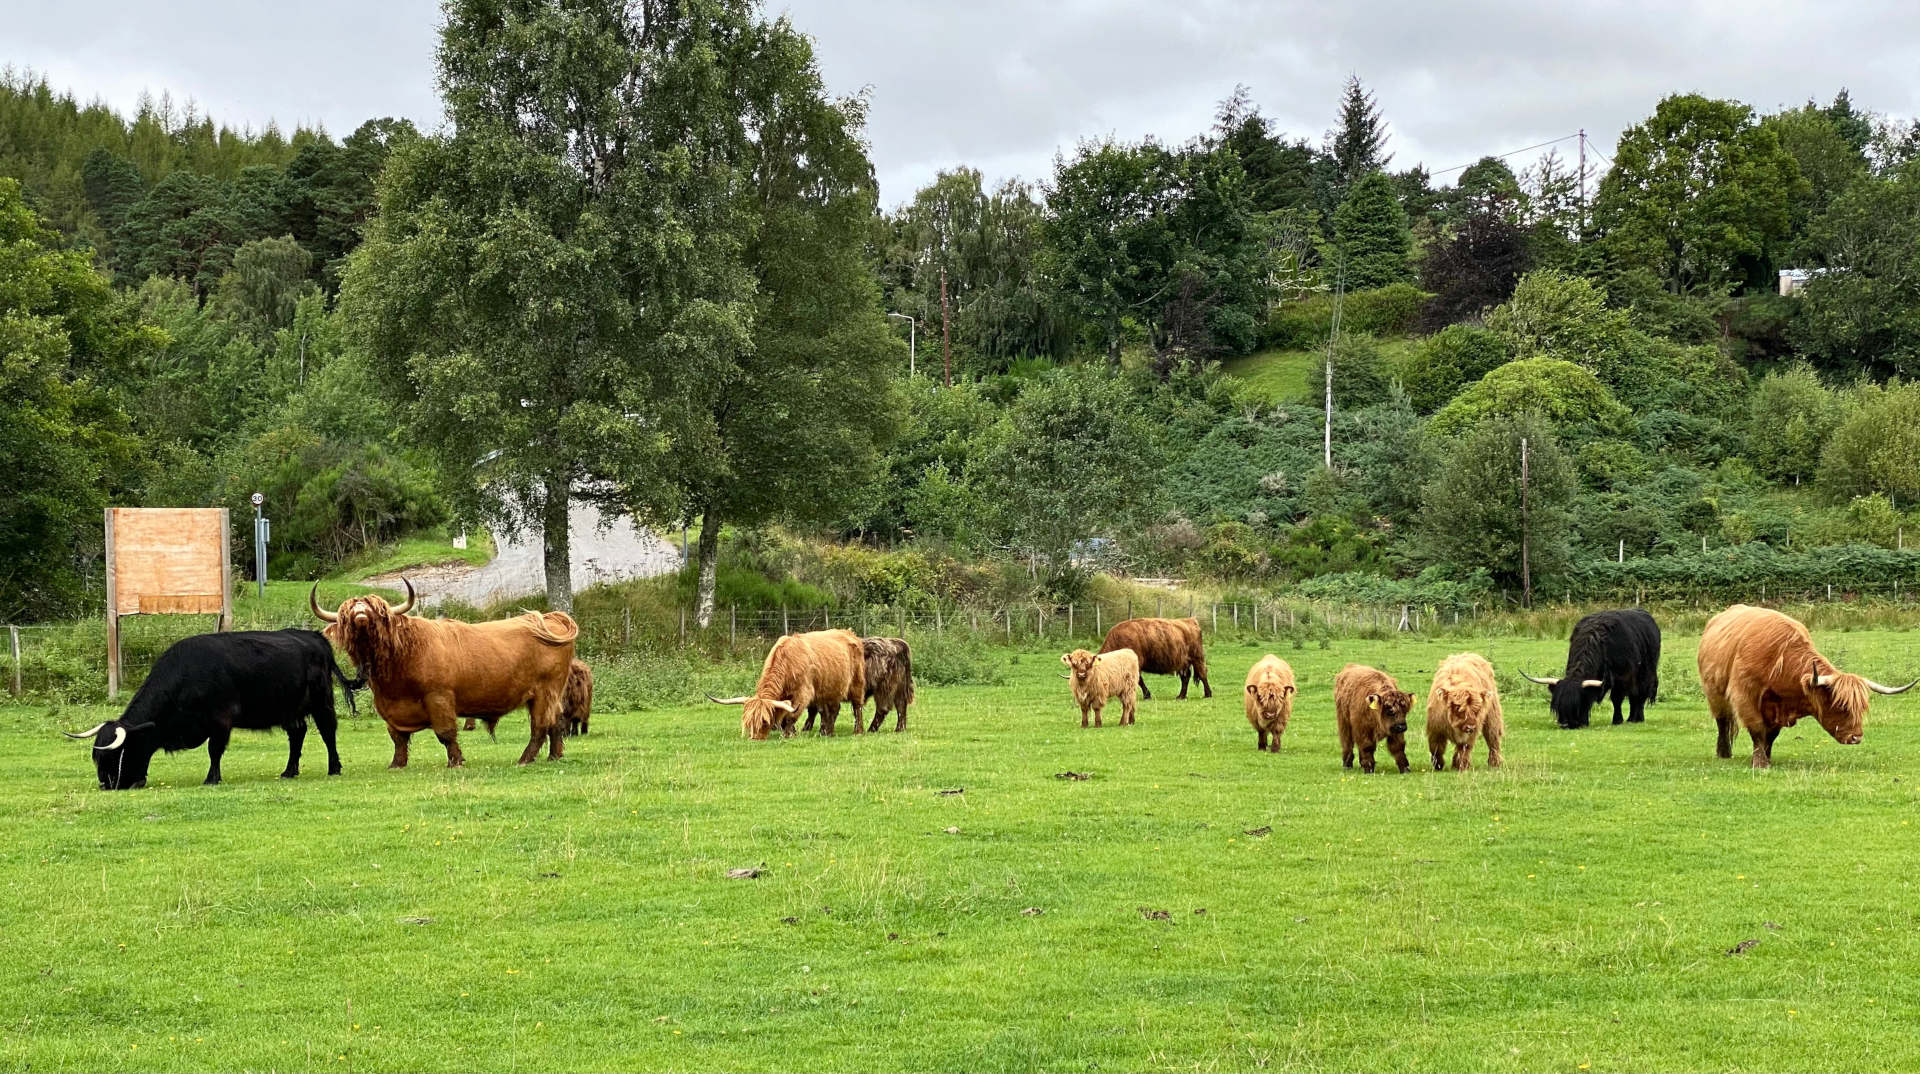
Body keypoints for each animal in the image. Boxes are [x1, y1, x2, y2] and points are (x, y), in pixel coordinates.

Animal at [64, 630, 362, 791]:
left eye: (116, 755)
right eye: (97, 758)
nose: (105, 783)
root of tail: (313, 636)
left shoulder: (220, 721)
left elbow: (214, 750)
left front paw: (212, 778)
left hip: (322, 702)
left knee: (328, 732)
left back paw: (334, 767)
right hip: (289, 710)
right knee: (297, 735)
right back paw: (289, 771)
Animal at [307, 584, 572, 768]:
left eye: (378, 612)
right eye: (348, 613)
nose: (360, 614)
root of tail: (551, 618)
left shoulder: (439, 697)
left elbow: (445, 733)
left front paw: (456, 762)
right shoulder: (388, 707)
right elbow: (397, 737)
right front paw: (397, 764)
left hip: (545, 692)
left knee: (540, 726)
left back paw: (525, 759)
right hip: (552, 695)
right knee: (556, 721)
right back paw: (555, 756)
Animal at [710, 630, 867, 737]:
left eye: (764, 721)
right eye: (749, 723)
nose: (755, 738)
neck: (787, 661)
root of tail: (849, 632)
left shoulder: (804, 692)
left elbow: (792, 715)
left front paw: (788, 734)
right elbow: (784, 716)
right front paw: (792, 731)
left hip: (856, 684)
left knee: (857, 707)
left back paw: (858, 731)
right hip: (830, 689)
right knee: (832, 710)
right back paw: (827, 732)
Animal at [1520, 607, 1658, 730]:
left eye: (1577, 704)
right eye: (1557, 706)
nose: (1565, 724)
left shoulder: (1622, 677)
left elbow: (1616, 699)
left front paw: (1617, 720)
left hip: (1646, 673)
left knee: (1639, 695)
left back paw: (1636, 718)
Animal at [1704, 607, 1912, 772]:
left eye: (1861, 708)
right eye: (1840, 706)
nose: (1856, 737)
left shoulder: (1779, 709)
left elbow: (1771, 734)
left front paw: (1768, 758)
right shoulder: (1745, 696)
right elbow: (1757, 729)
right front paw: (1760, 763)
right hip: (1714, 695)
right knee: (1722, 721)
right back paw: (1723, 753)